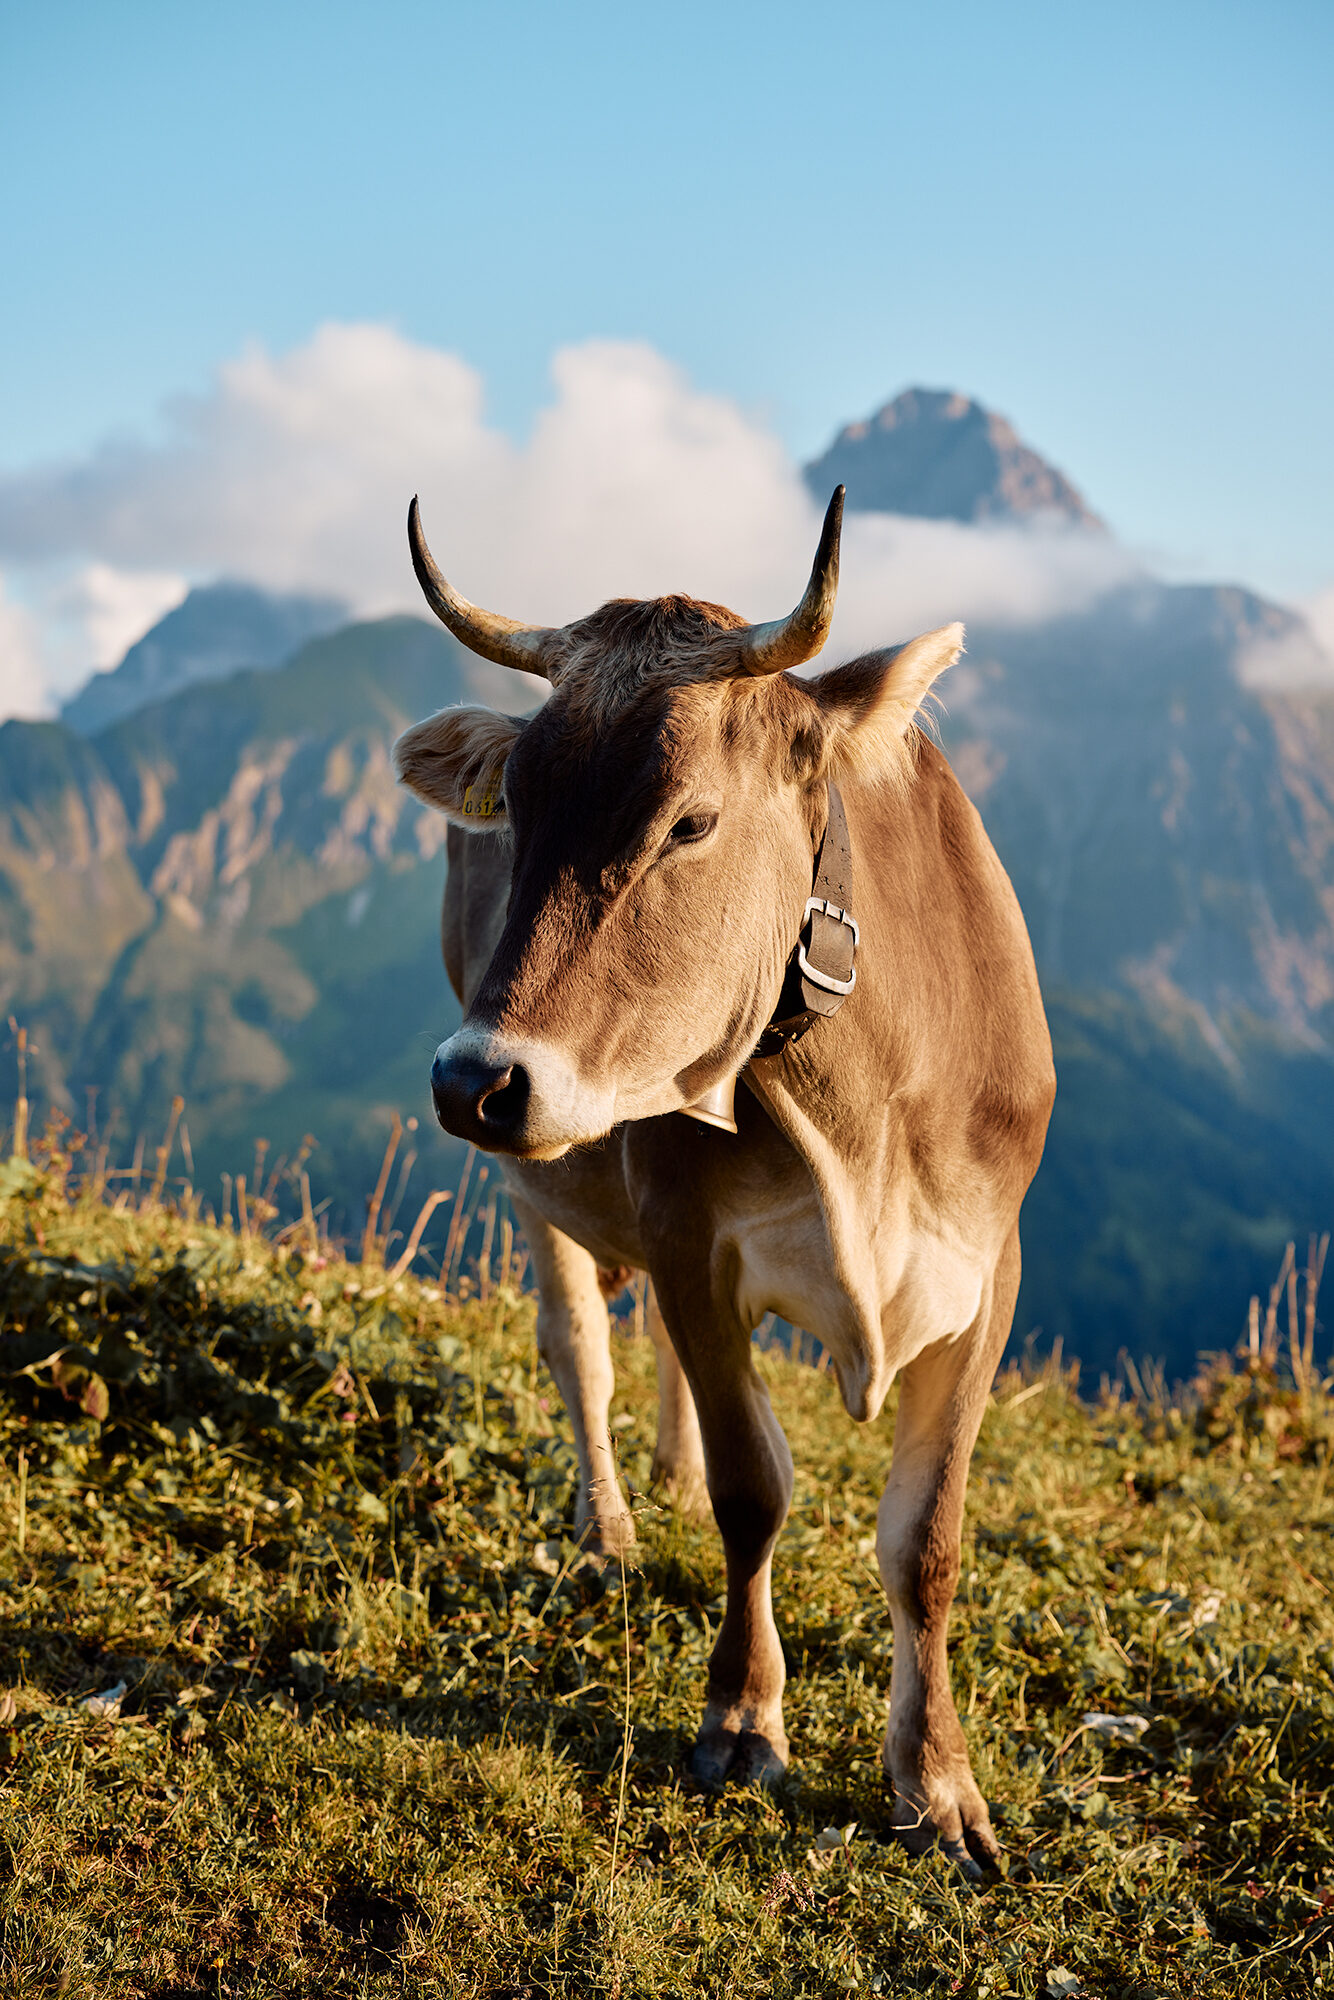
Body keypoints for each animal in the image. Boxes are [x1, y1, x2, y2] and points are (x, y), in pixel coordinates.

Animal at [393, 489, 1055, 1871]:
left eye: (687, 821)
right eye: (515, 810)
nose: (472, 1080)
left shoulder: (988, 1270)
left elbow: (925, 1540)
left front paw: (938, 1782)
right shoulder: (686, 1230)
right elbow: (755, 1491)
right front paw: (742, 1717)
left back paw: (665, 1471)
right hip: (544, 1184)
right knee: (582, 1344)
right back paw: (612, 1526)